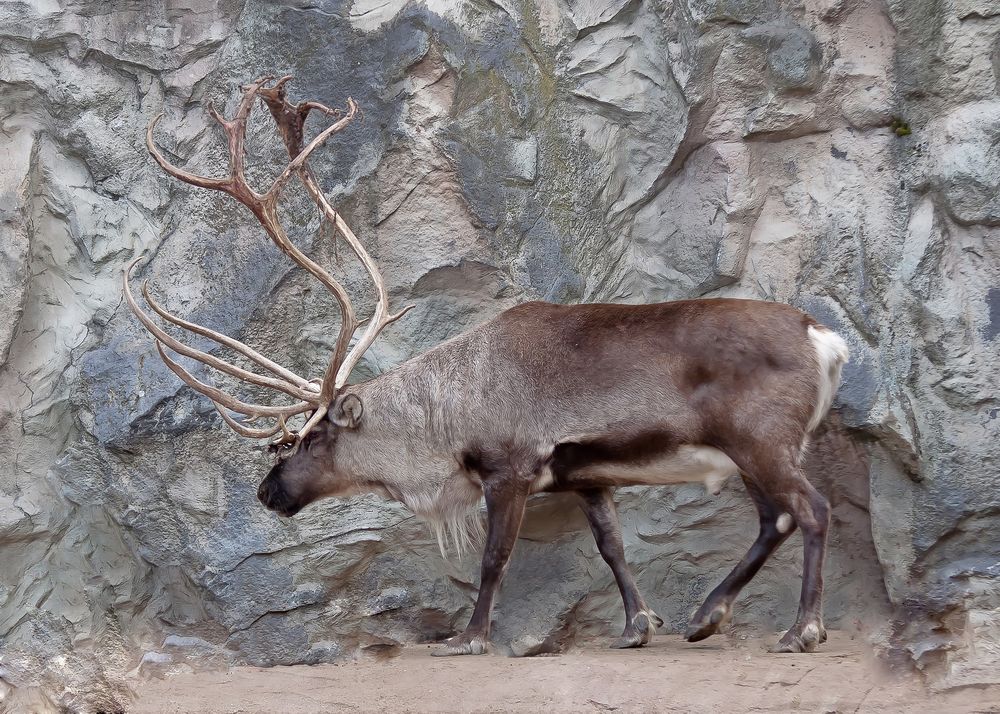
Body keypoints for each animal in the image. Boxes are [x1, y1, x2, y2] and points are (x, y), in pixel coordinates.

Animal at [126, 76, 850, 658]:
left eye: (313, 437)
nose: (267, 491)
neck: (446, 416)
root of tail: (826, 339)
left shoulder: (511, 467)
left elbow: (494, 559)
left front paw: (469, 637)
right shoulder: (587, 475)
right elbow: (612, 547)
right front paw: (638, 624)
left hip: (761, 439)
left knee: (810, 510)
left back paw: (801, 629)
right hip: (750, 450)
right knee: (777, 518)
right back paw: (707, 616)